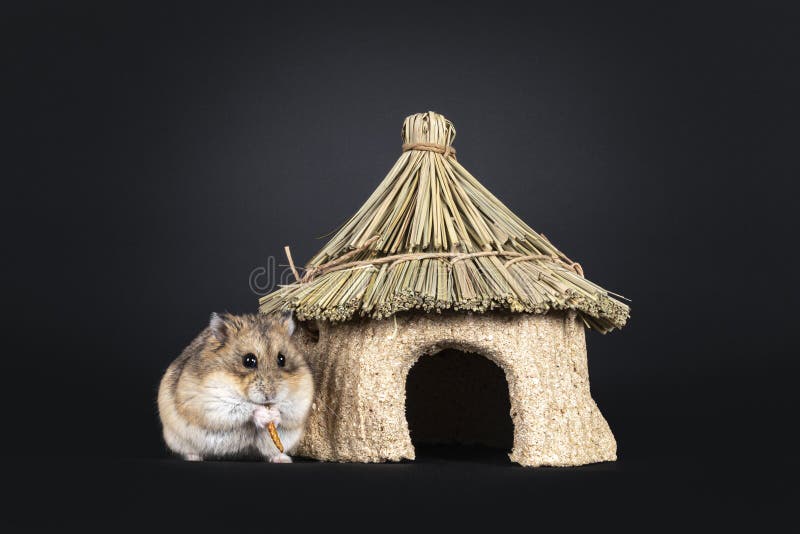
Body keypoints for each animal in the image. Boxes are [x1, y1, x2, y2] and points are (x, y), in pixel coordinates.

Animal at [158, 314, 314, 464]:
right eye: (249, 360)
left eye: (282, 359)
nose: (270, 396)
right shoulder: (212, 401)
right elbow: (244, 407)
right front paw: (263, 414)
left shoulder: (301, 399)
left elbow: (286, 410)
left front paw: (274, 413)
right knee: (190, 451)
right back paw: (193, 458)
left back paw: (283, 459)